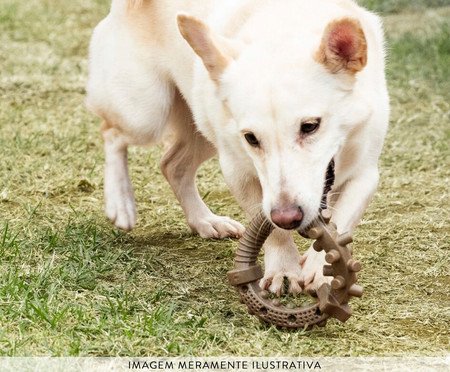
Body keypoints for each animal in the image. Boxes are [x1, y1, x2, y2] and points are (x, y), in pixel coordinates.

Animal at [86, 0, 388, 296]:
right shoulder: (238, 171)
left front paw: (322, 269)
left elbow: (342, 220)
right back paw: (121, 204)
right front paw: (283, 271)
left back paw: (205, 221)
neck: (282, 26)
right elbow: (273, 230)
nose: (288, 217)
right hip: (147, 113)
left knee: (172, 165)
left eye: (310, 126)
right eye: (251, 138)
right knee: (111, 134)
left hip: (201, 129)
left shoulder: (365, 174)